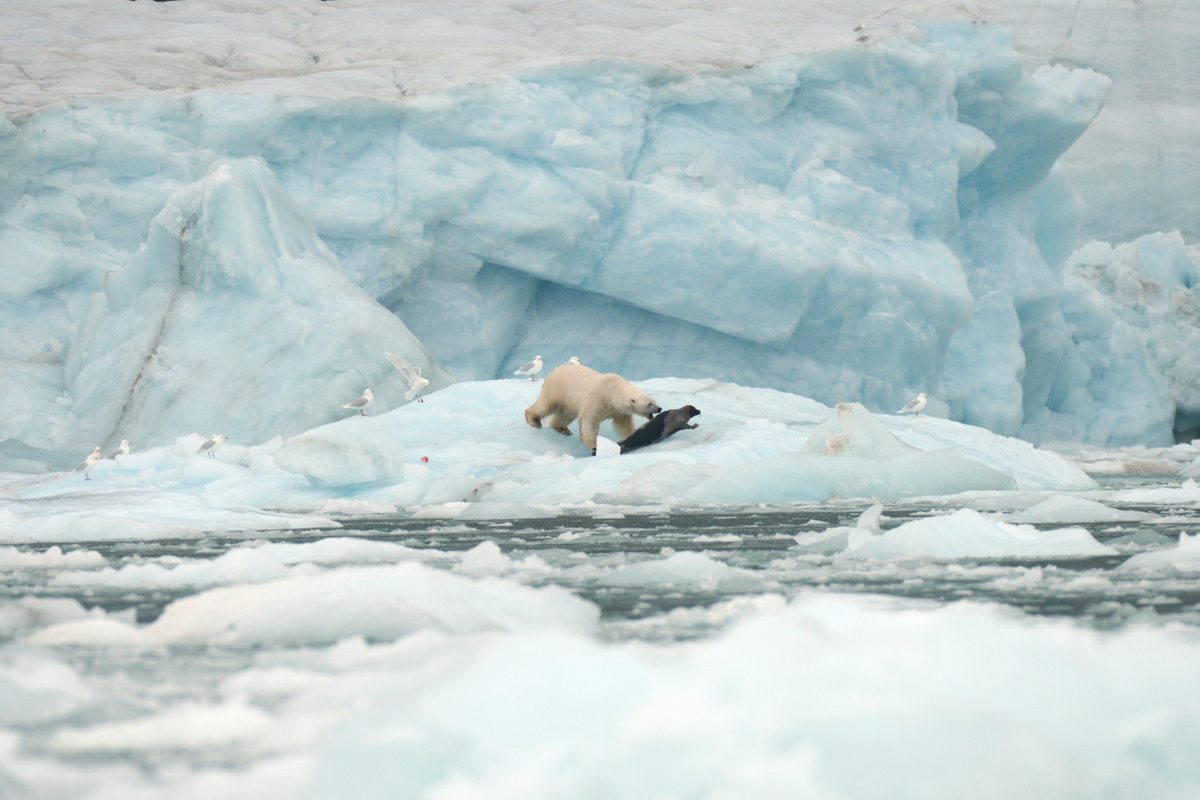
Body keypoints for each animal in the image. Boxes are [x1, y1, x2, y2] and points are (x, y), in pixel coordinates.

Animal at [524, 362, 662, 454]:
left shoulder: (619, 411)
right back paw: (534, 421)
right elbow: (589, 421)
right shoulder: (596, 399)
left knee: (565, 415)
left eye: (654, 401)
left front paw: (632, 434)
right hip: (557, 389)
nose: (659, 408)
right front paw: (594, 446)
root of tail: (555, 370)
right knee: (545, 405)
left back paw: (563, 429)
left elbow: (623, 425)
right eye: (649, 404)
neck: (612, 391)